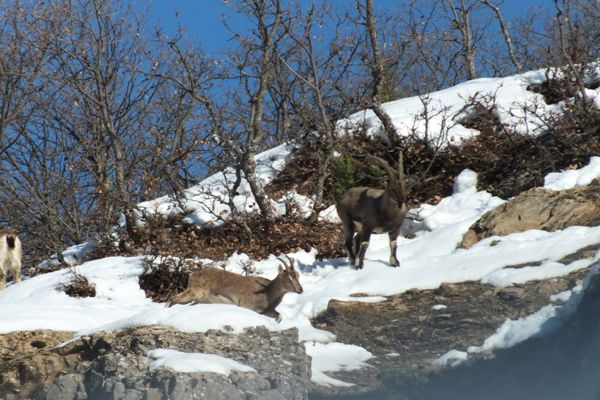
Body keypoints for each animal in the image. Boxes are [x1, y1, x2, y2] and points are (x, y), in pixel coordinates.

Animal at [169, 256, 302, 318]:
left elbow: (279, 316)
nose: (300, 290)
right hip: (195, 292)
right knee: (173, 299)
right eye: (288, 278)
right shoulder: (246, 306)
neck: (267, 293)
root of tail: (192, 275)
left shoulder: (266, 311)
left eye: (298, 275)